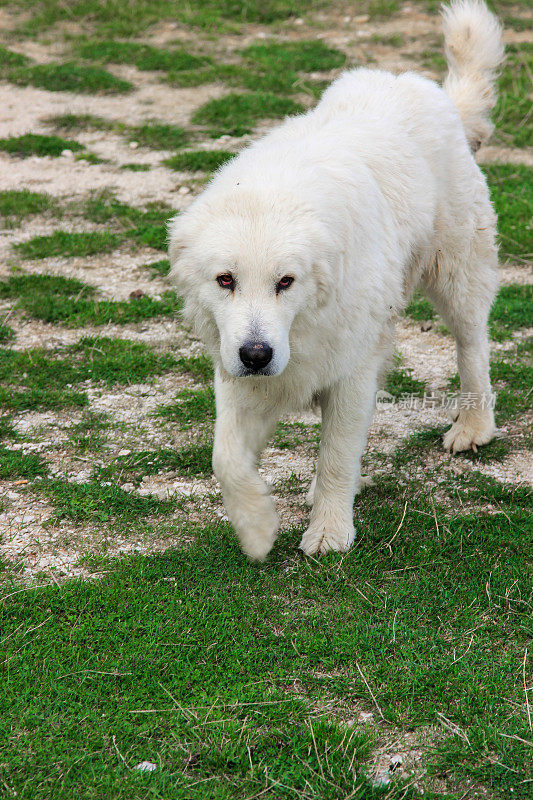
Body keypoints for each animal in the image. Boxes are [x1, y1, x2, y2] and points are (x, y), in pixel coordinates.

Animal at [170, 1, 502, 564]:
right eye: (225, 280)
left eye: (285, 281)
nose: (256, 355)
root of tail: (425, 90)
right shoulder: (241, 374)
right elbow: (226, 458)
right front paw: (258, 528)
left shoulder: (350, 370)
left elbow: (337, 455)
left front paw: (329, 533)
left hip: (456, 273)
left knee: (472, 346)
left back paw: (473, 427)